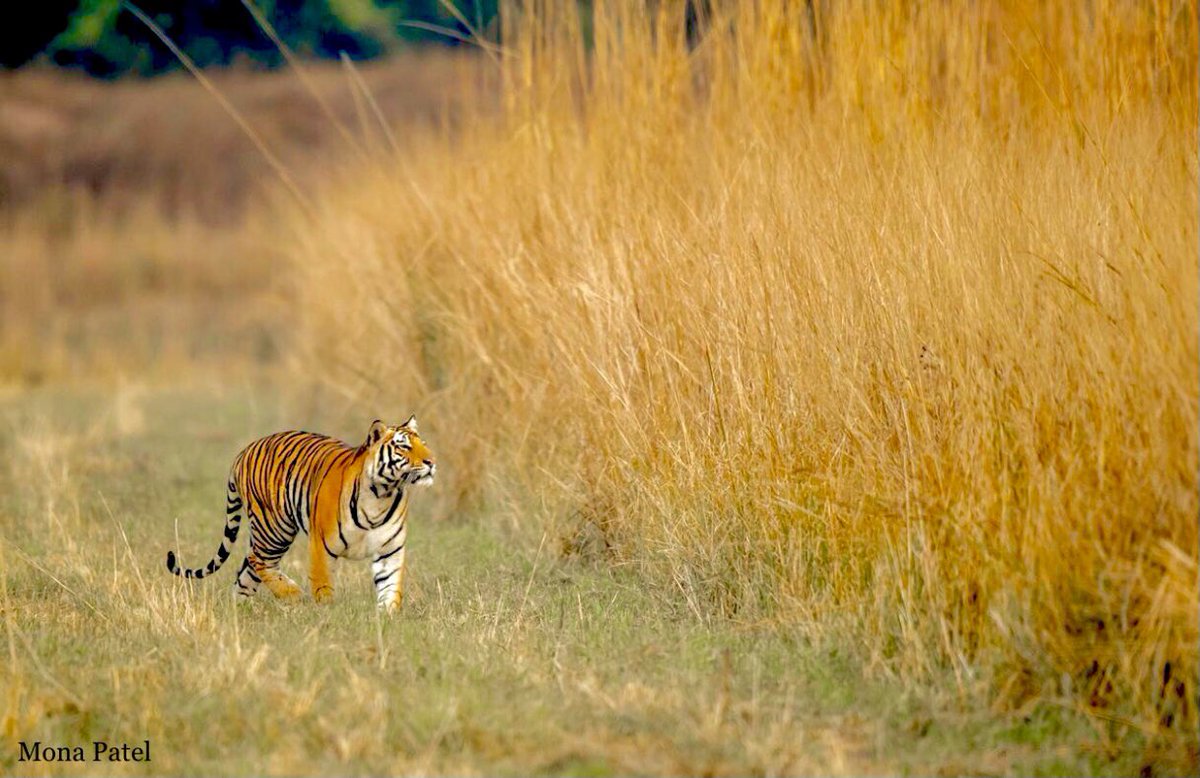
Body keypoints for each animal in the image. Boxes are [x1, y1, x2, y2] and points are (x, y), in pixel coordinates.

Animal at [164, 415, 434, 609]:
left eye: (424, 445)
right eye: (404, 448)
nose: (431, 461)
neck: (381, 495)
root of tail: (244, 451)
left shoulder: (390, 550)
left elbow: (390, 589)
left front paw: (388, 620)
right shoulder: (322, 547)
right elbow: (323, 588)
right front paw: (327, 616)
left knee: (247, 571)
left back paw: (239, 609)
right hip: (274, 529)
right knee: (257, 561)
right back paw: (293, 593)